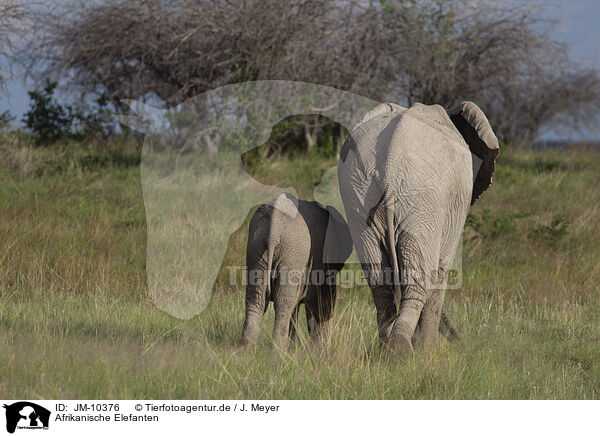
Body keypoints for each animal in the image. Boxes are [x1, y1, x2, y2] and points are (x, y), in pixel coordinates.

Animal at [239, 192, 352, 350]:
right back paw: (279, 351)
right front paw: (317, 349)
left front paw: (300, 347)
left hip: (257, 247)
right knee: (283, 303)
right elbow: (323, 302)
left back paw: (246, 348)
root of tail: (274, 224)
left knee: (257, 299)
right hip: (291, 252)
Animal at [340, 100, 500, 356]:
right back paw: (402, 351)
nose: (465, 344)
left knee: (379, 281)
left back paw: (384, 350)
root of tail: (391, 164)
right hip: (423, 199)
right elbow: (441, 269)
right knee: (417, 279)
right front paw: (429, 351)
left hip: (359, 195)